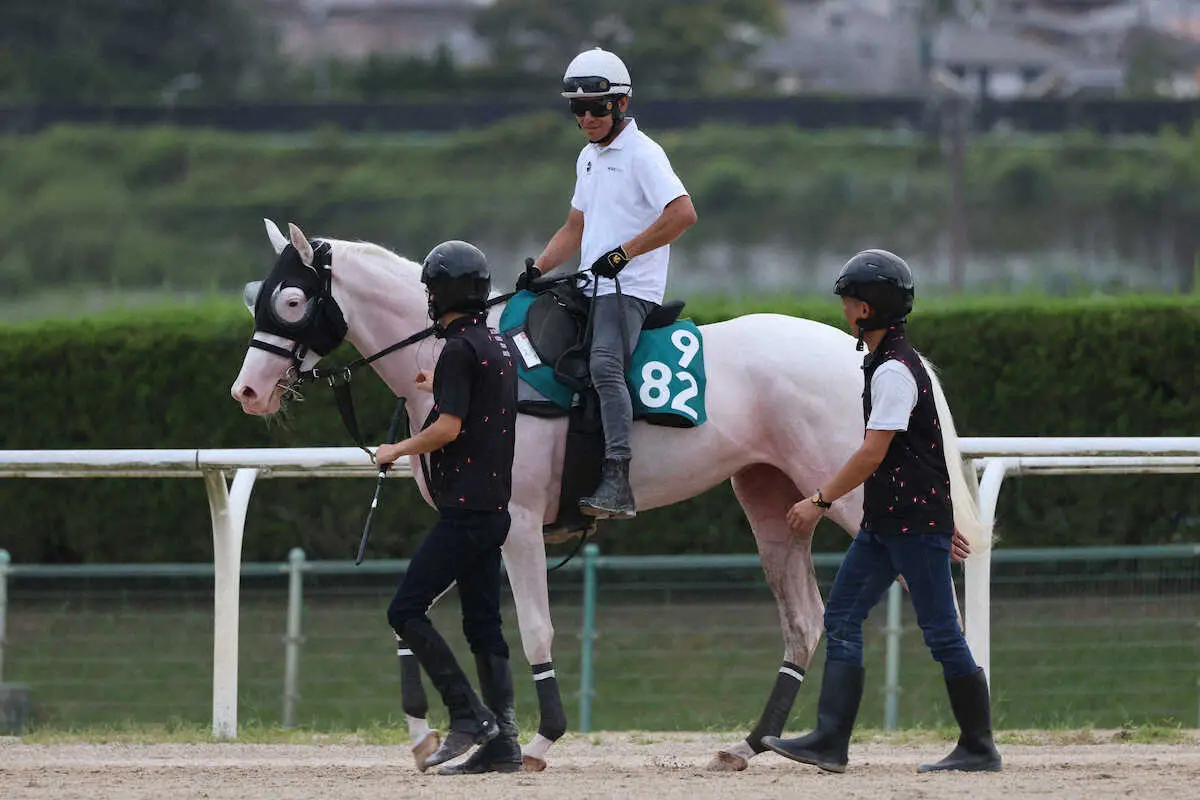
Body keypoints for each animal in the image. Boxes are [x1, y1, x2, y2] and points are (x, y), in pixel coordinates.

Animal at [231, 221, 984, 772]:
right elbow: (423, 621)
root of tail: (860, 354)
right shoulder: (472, 526)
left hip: (860, 498)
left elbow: (531, 628)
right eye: (256, 297)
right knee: (804, 620)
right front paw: (440, 735)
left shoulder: (517, 524)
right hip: (773, 502)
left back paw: (966, 743)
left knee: (934, 593)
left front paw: (537, 740)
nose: (246, 391)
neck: (452, 353)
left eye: (292, 301)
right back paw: (750, 744)